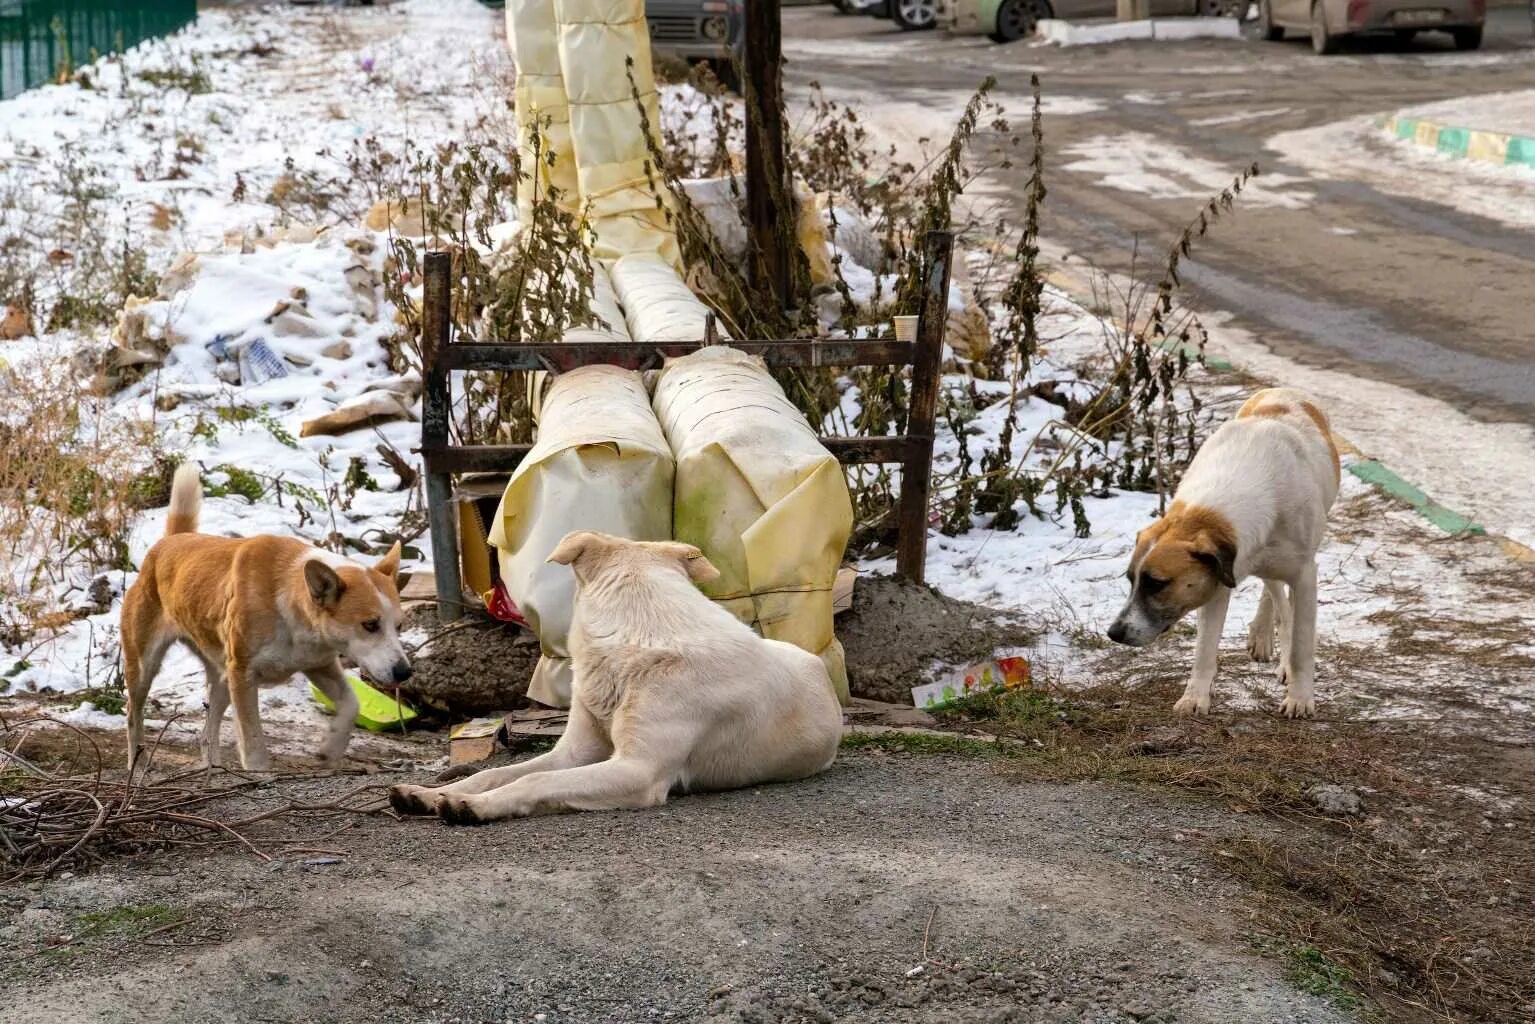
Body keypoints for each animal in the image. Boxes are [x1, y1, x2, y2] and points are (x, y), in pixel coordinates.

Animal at [120, 463, 411, 767]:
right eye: (370, 625)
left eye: (400, 626)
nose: (405, 672)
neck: (291, 603)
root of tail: (169, 542)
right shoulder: (243, 675)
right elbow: (253, 743)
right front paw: (259, 773)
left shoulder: (319, 664)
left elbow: (351, 704)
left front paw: (331, 749)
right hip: (145, 666)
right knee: (133, 714)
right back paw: (137, 763)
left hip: (221, 676)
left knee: (207, 731)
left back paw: (215, 770)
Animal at [383, 528, 841, 822]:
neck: (639, 638)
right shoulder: (573, 753)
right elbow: (495, 773)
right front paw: (431, 794)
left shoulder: (638, 771)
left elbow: (533, 781)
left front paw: (475, 807)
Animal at [1111, 388, 1338, 718]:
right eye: (1130, 580)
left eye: (1156, 583)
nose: (1113, 633)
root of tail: (1283, 390)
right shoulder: (1217, 579)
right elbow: (1204, 648)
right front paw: (1196, 696)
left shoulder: (1305, 574)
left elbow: (1301, 645)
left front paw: (1300, 697)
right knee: (1274, 591)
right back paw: (1263, 634)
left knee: (1285, 603)